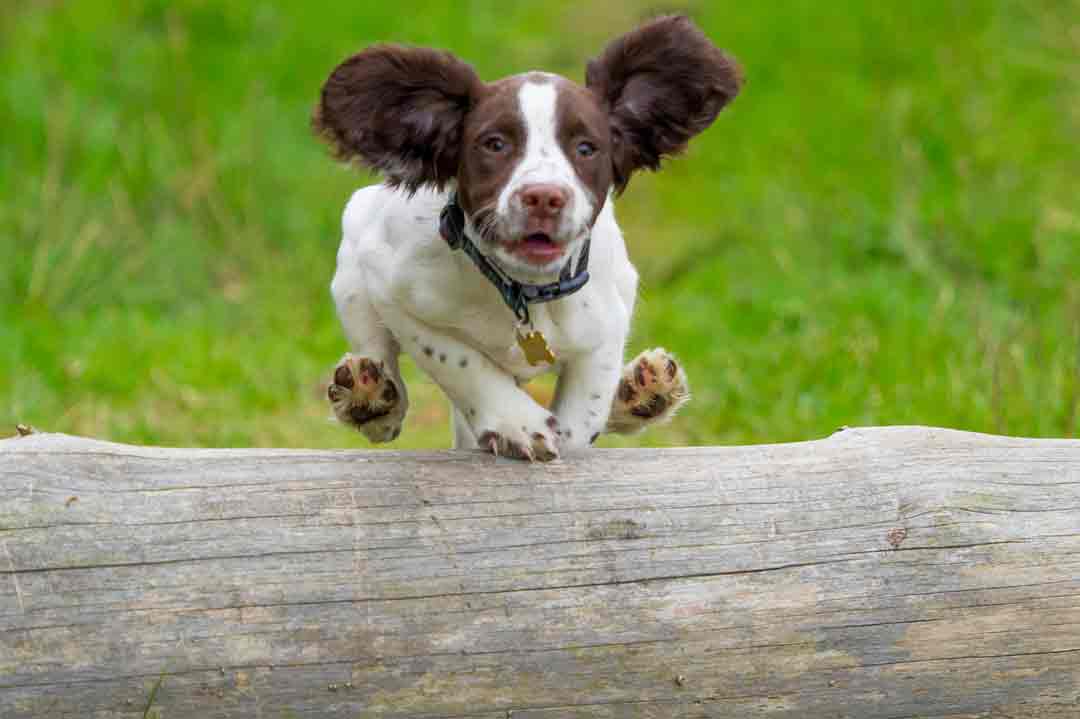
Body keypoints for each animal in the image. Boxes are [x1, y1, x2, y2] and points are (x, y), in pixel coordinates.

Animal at [315, 15, 743, 459]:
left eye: (586, 148)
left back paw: (643, 393)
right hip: (352, 257)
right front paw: (516, 422)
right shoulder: (392, 288)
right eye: (495, 144)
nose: (543, 197)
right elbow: (456, 359)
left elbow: (583, 414)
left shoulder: (610, 313)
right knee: (376, 353)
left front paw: (565, 427)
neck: (523, 290)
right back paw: (368, 397)